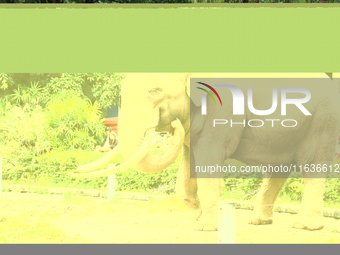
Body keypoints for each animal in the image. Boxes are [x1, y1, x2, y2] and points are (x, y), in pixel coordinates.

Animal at [69, 73, 340, 231]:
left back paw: (306, 227)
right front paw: (200, 214)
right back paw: (259, 222)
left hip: (322, 121)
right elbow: (189, 165)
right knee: (277, 170)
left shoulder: (222, 110)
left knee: (311, 166)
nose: (74, 170)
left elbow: (208, 161)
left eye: (155, 91)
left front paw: (205, 227)